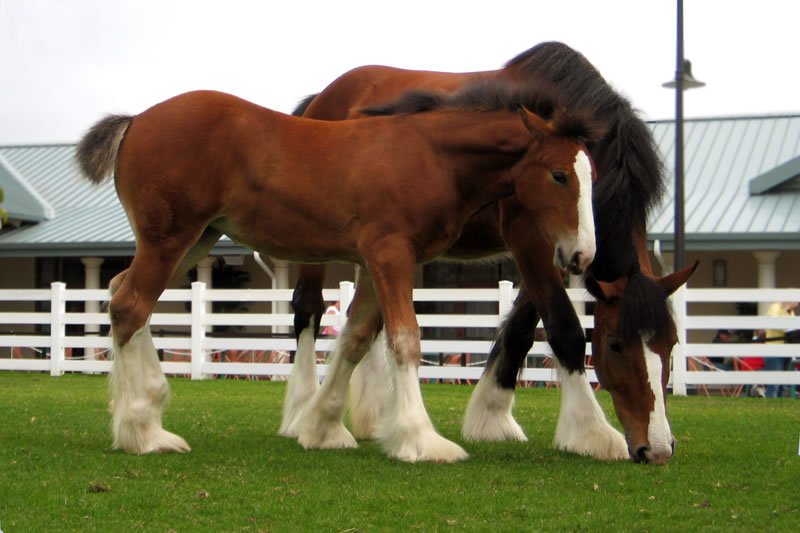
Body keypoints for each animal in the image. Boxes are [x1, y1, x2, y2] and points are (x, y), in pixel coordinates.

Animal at [75, 85, 603, 462]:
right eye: (559, 174)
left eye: (592, 175)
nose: (582, 256)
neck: (430, 156)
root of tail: (135, 121)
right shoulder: (390, 254)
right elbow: (405, 339)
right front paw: (421, 440)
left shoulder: (377, 262)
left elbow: (355, 340)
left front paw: (324, 429)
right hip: (170, 239)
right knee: (131, 305)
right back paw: (143, 432)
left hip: (196, 239)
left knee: (123, 294)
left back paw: (143, 412)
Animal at [283, 41, 697, 465]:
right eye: (615, 344)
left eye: (671, 344)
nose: (657, 448)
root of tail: (322, 98)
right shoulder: (529, 236)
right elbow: (564, 327)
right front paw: (592, 431)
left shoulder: (563, 249)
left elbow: (521, 328)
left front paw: (492, 413)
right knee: (308, 308)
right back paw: (301, 413)